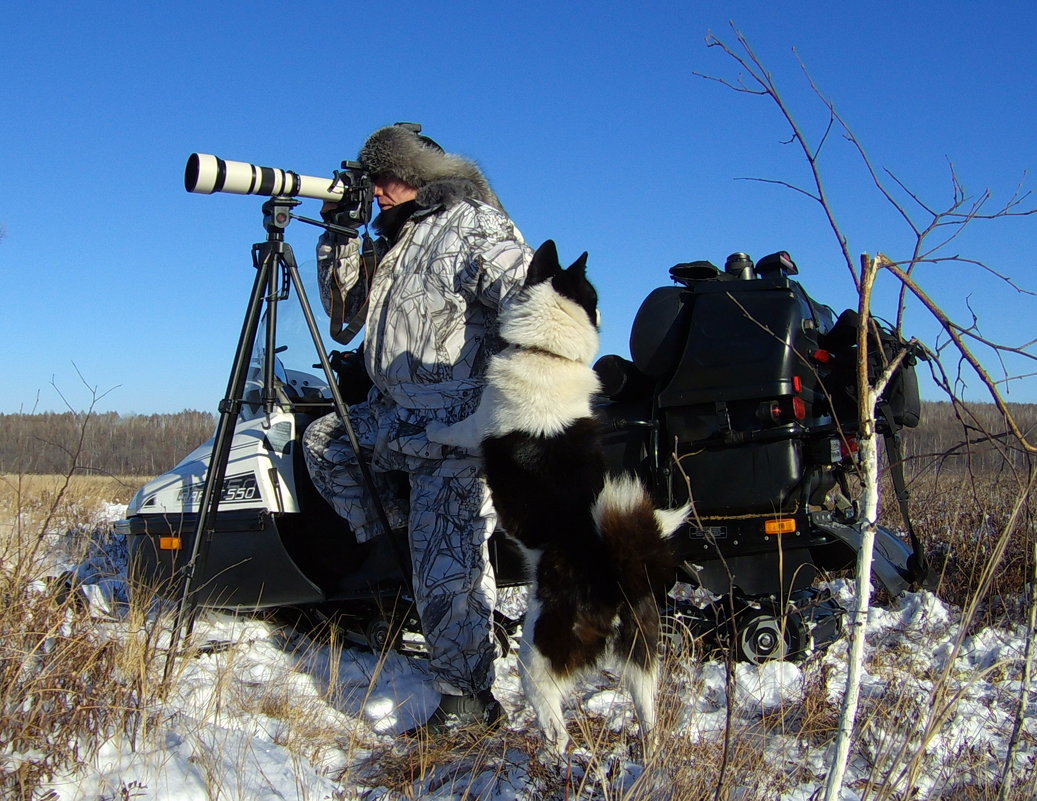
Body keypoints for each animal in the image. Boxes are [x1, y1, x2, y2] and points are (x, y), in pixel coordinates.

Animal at [429, 240, 688, 755]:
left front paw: (427, 433)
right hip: (642, 658)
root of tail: (616, 579)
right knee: (648, 713)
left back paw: (549, 753)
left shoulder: (475, 428)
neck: (548, 354)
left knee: (557, 727)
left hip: (537, 659)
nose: (606, 311)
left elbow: (450, 430)